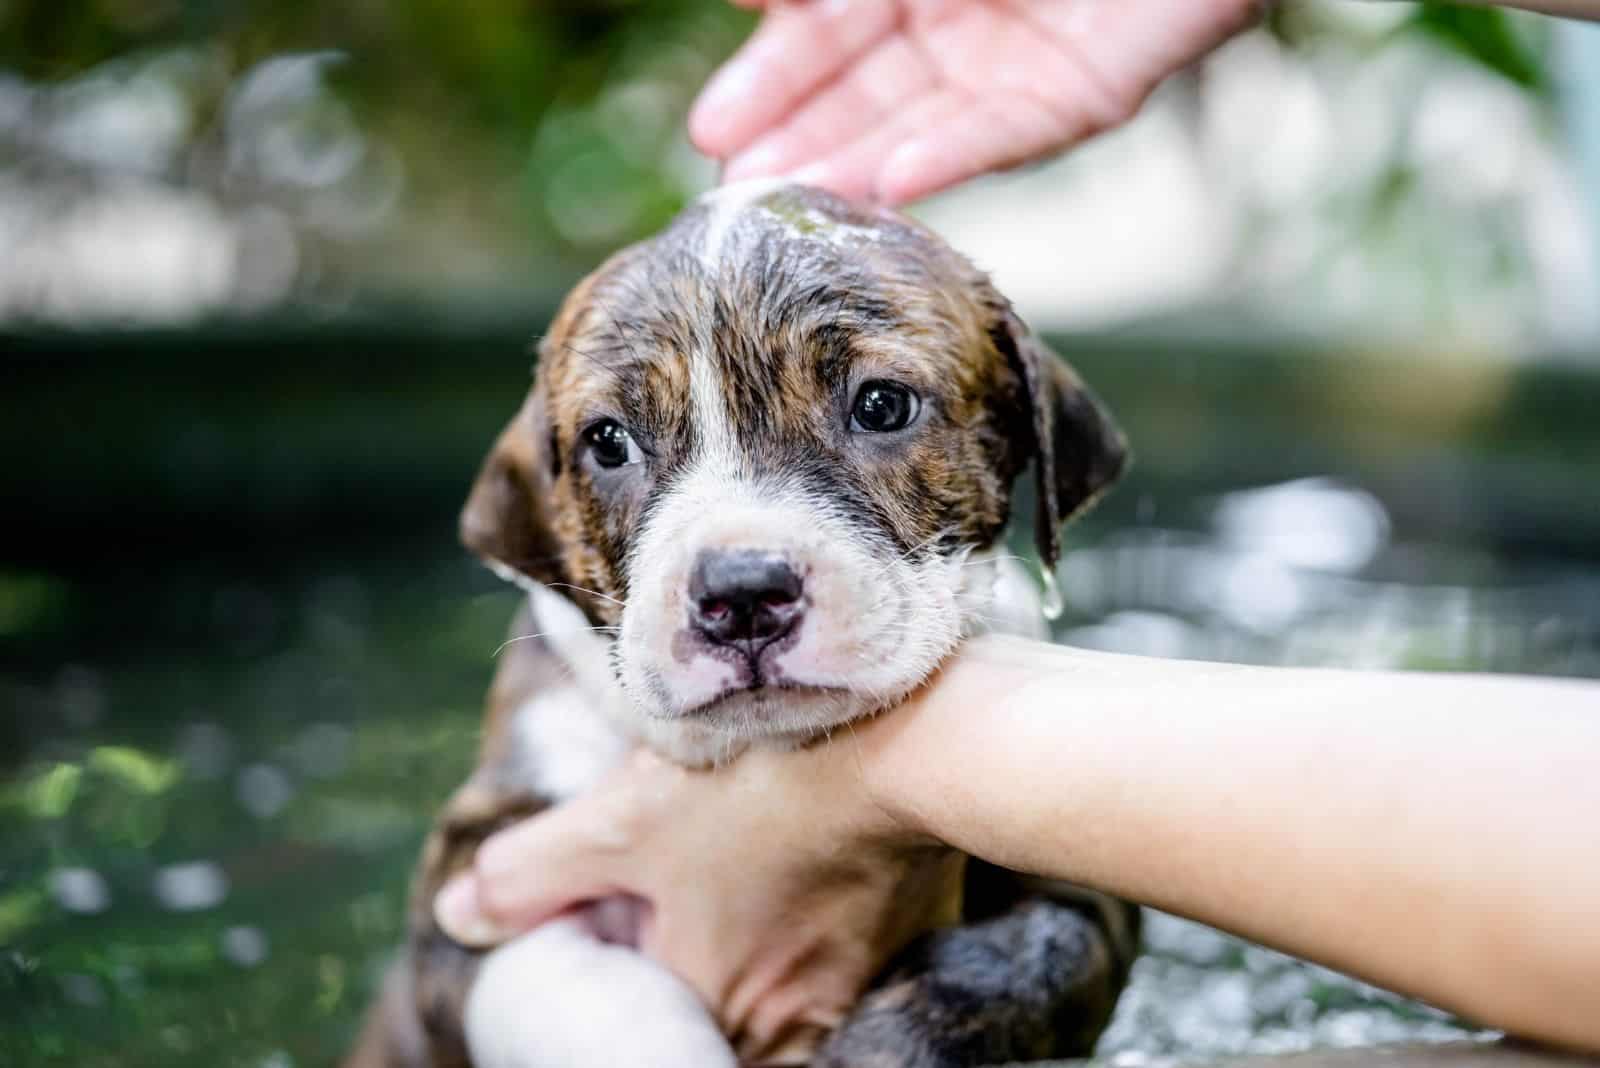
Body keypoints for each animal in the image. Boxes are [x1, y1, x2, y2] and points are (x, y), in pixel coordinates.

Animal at [344, 181, 1139, 1068]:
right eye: (608, 442)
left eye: (882, 405)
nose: (744, 594)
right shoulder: (471, 892)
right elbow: (614, 1003)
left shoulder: (1081, 891)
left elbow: (1030, 960)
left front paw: (884, 1046)